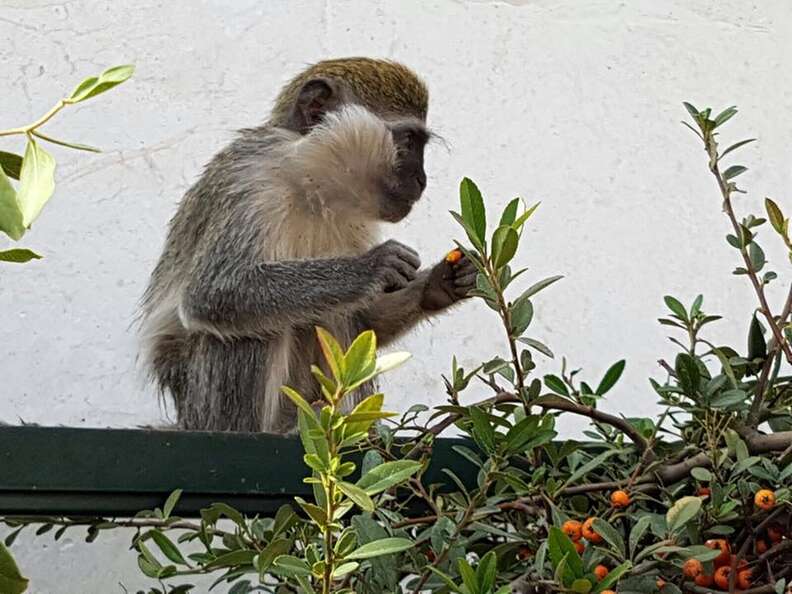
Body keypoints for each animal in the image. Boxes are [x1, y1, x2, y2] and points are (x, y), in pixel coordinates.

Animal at [139, 57, 477, 434]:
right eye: (407, 140)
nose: (421, 180)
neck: (311, 181)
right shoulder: (249, 181)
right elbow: (211, 293)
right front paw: (371, 267)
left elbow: (364, 321)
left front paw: (440, 283)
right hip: (201, 405)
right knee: (253, 326)